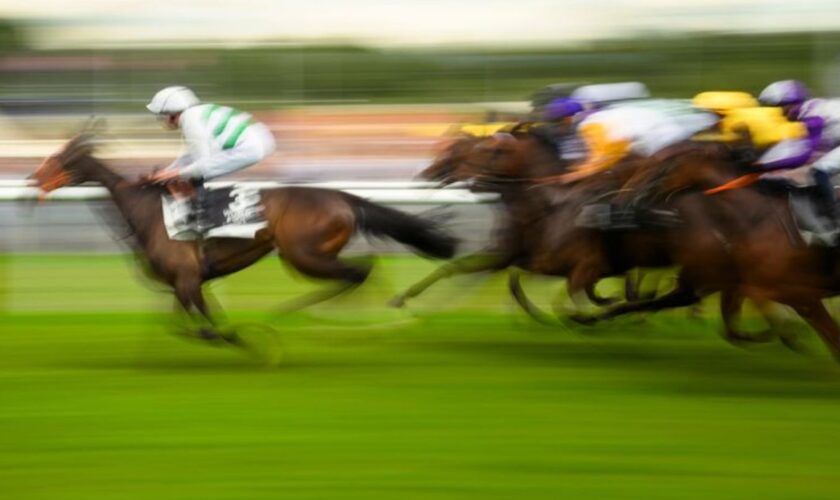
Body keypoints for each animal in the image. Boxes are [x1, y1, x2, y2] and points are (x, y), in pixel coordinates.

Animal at [36, 133, 460, 344]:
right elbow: (184, 322)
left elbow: (207, 324)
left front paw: (241, 338)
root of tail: (343, 197)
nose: (34, 179)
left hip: (302, 254)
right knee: (361, 272)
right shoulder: (185, 281)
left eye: (60, 159)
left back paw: (306, 316)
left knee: (358, 271)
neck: (147, 211)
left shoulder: (187, 278)